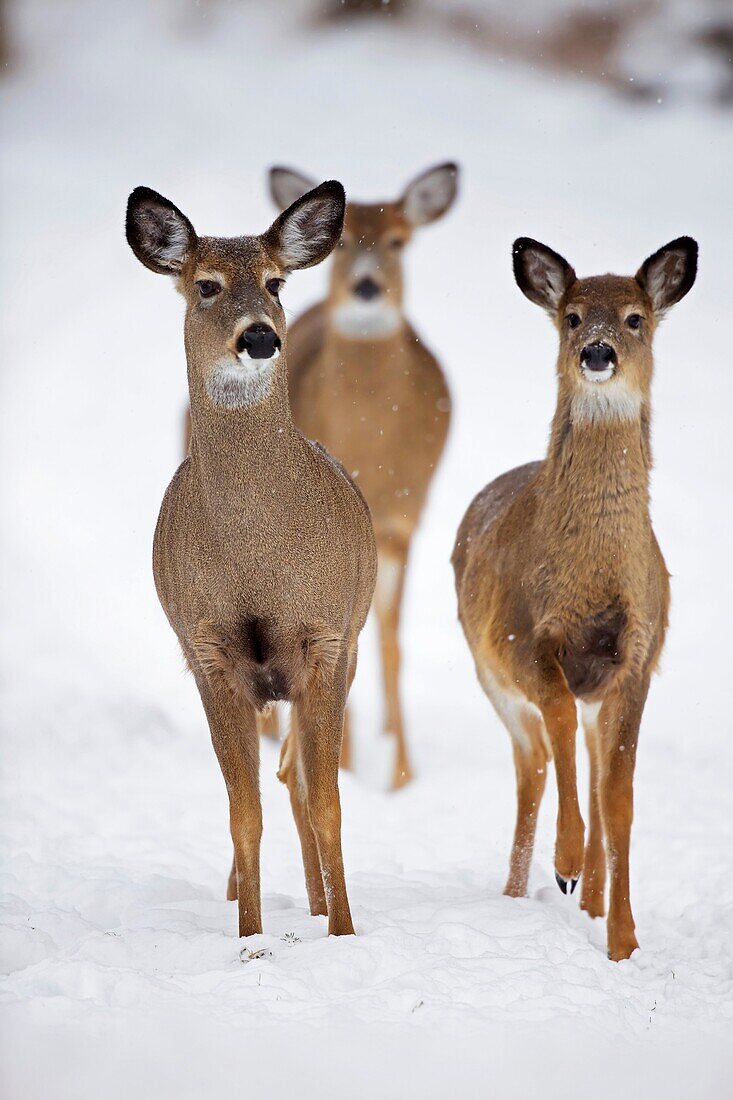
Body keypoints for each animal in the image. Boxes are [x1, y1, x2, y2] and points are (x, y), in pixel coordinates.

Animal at [124, 180, 374, 937]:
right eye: (204, 284)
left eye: (275, 282)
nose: (260, 336)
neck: (256, 555)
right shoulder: (207, 649)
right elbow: (244, 814)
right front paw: (251, 939)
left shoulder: (326, 637)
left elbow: (328, 804)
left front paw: (344, 933)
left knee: (299, 780)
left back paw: (320, 906)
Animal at [263, 159, 457, 787]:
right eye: (344, 241)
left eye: (398, 240)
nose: (366, 287)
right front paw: (343, 766)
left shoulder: (404, 516)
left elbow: (391, 641)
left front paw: (402, 776)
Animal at [451, 236, 695, 959]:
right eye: (572, 316)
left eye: (636, 318)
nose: (597, 351)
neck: (591, 575)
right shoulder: (522, 638)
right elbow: (556, 721)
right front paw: (562, 863)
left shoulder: (637, 656)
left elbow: (620, 798)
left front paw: (623, 941)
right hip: (486, 672)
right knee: (532, 762)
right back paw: (523, 890)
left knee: (581, 763)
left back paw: (586, 900)